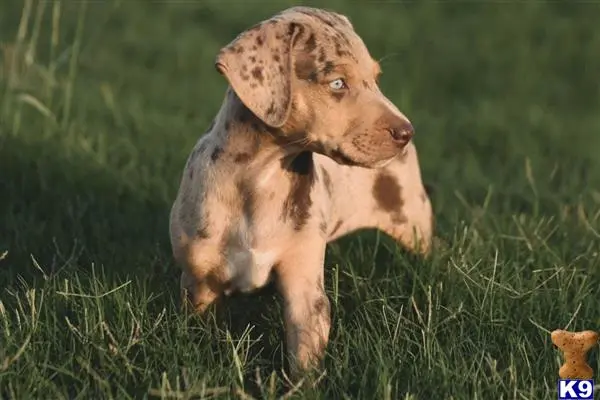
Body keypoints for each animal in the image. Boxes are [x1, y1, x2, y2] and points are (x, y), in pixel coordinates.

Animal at [169, 6, 432, 378]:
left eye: (376, 78)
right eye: (337, 83)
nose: (407, 132)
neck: (262, 179)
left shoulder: (304, 287)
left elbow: (304, 358)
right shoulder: (199, 284)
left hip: (414, 222)